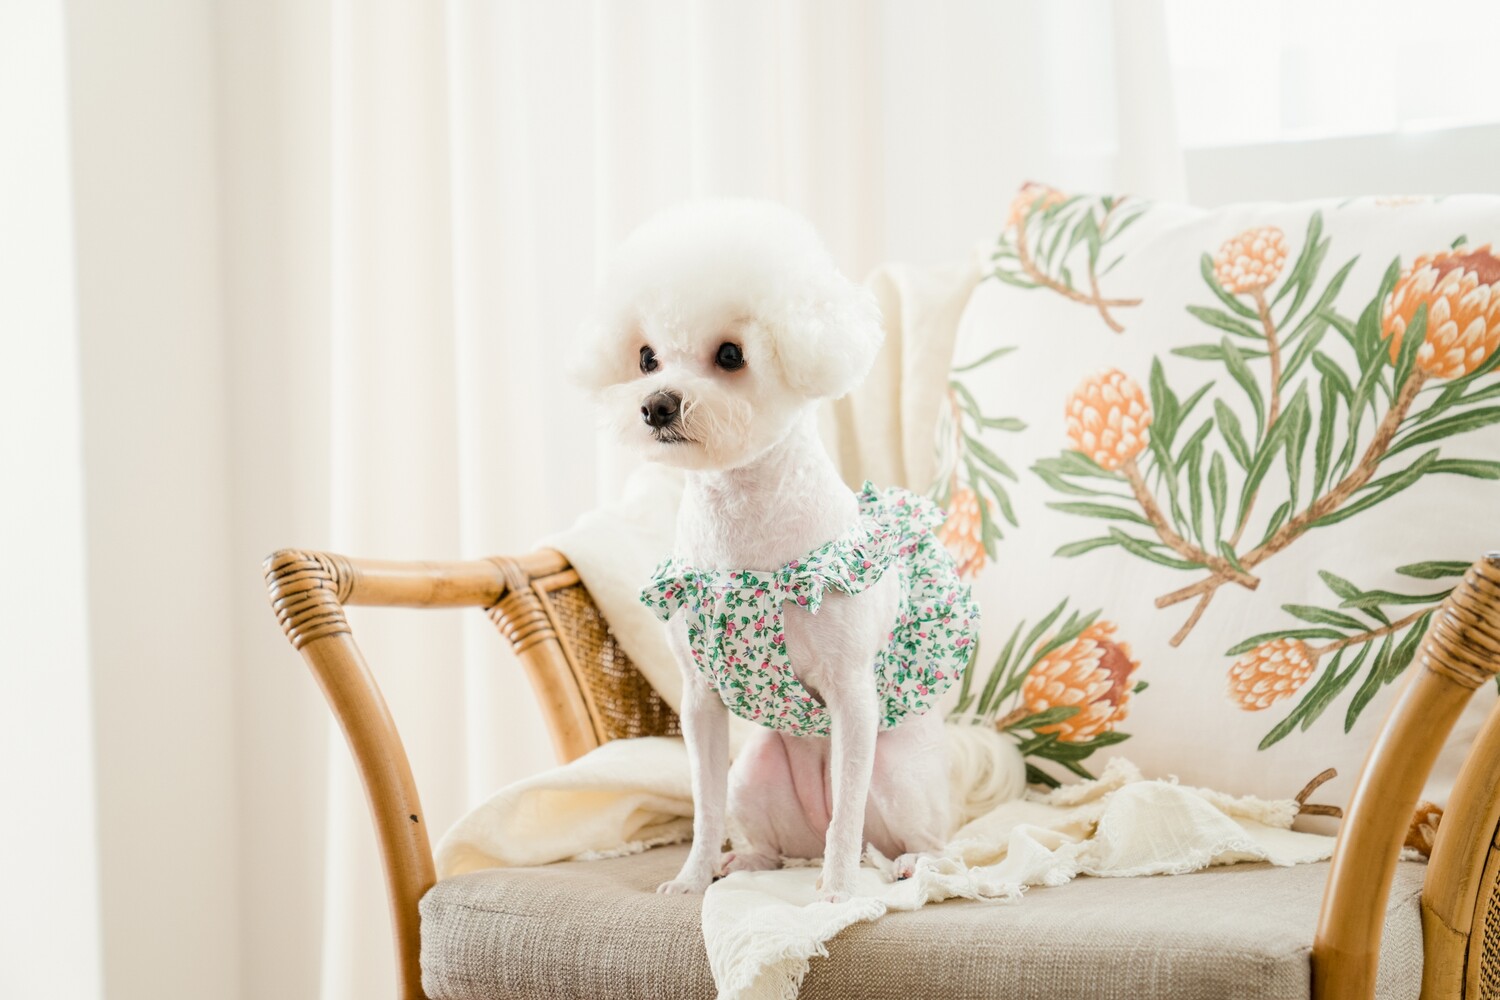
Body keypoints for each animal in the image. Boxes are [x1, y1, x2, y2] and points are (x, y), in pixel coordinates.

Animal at [577, 200, 978, 903]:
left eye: (731, 354)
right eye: (647, 357)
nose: (657, 405)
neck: (743, 526)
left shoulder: (853, 699)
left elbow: (846, 813)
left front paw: (838, 891)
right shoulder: (699, 701)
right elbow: (704, 805)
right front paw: (691, 876)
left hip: (897, 774)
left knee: (917, 839)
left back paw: (905, 865)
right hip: (758, 767)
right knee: (774, 842)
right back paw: (744, 862)